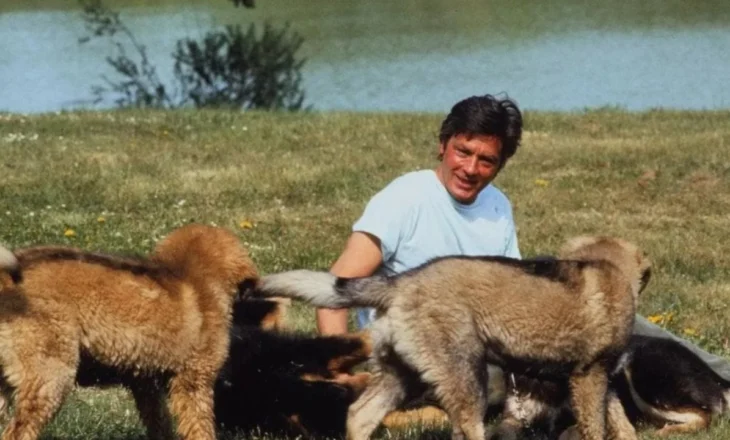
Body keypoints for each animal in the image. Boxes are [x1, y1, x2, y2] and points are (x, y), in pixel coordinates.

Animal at [0, 225, 256, 440]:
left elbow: (159, 422)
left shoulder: (145, 382)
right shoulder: (194, 382)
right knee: (17, 432)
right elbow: (200, 427)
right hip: (50, 375)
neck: (189, 274)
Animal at [247, 237, 652, 440]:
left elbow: (622, 424)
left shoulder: (603, 382)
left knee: (360, 415)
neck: (609, 270)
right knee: (467, 428)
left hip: (403, 373)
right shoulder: (589, 377)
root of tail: (400, 284)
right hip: (465, 374)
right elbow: (597, 428)